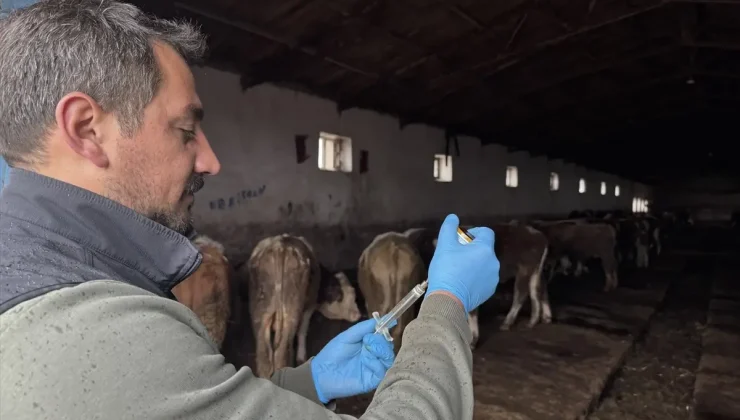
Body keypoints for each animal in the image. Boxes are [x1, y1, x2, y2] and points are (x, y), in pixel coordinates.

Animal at [246, 233, 362, 378]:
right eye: (340, 296)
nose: (358, 314)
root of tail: (280, 245)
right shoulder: (309, 307)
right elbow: (303, 330)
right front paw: (301, 358)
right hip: (291, 314)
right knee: (281, 355)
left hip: (260, 314)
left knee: (264, 360)